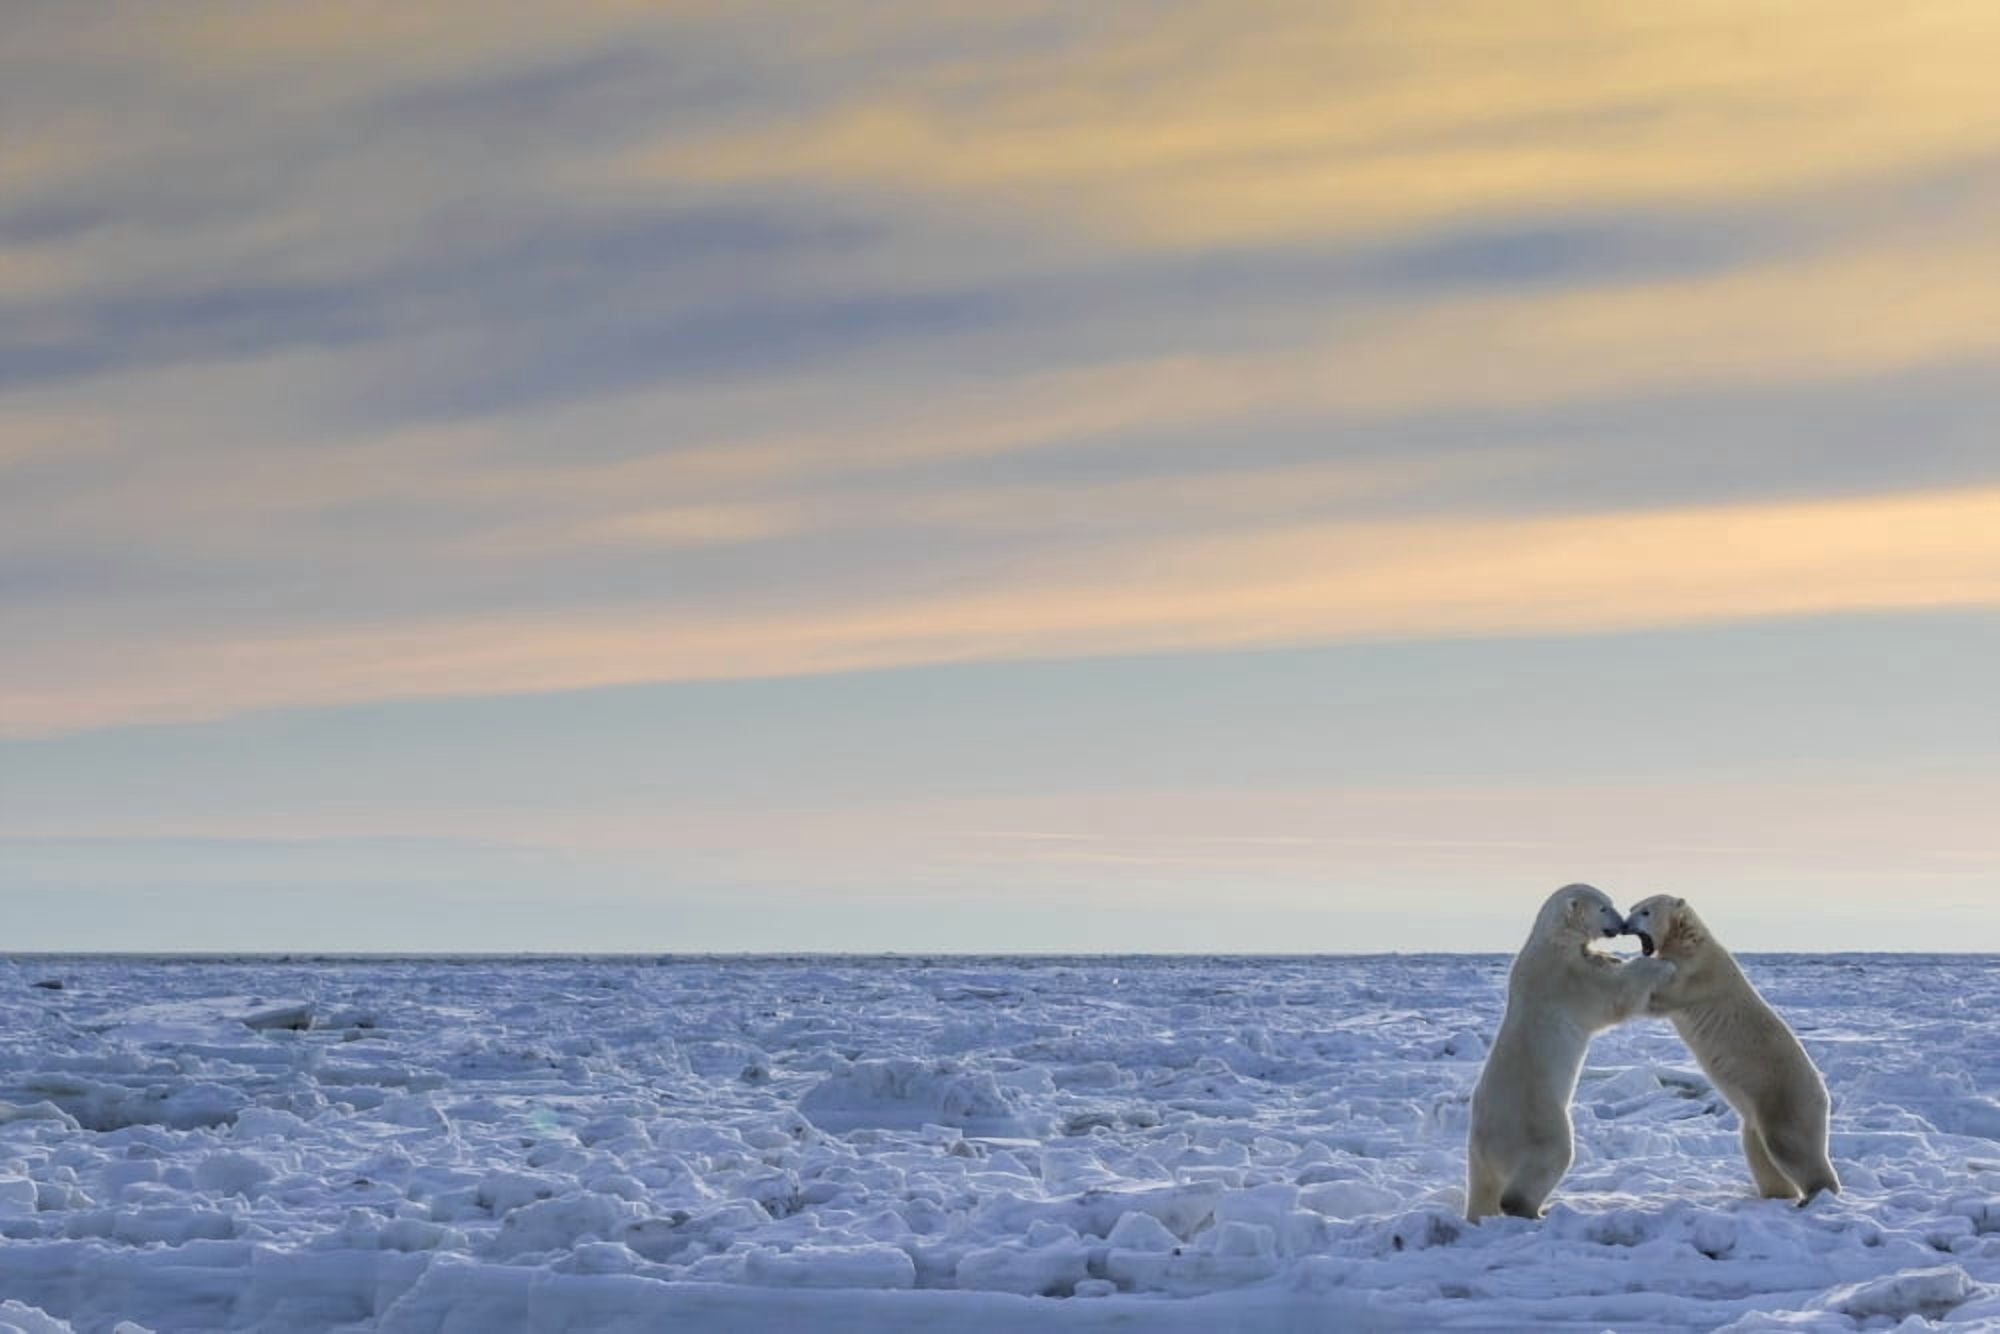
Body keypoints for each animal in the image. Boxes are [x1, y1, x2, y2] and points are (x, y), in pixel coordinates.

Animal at [1466, 883, 1676, 1221]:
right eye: (1604, 907)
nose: (1620, 925)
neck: (1552, 940)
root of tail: (1488, 1144)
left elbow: (1600, 963)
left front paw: (1610, 956)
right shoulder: (1565, 977)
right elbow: (1612, 995)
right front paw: (1661, 965)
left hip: (1477, 1153)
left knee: (1483, 1185)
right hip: (1539, 1122)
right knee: (1552, 1158)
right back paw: (1534, 1209)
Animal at [1624, 894, 1839, 1203]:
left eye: (1645, 911)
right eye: (1633, 908)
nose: (1624, 924)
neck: (1689, 940)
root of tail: (1823, 1093)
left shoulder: (1697, 974)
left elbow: (1660, 995)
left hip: (1785, 1098)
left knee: (1790, 1146)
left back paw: (1817, 1196)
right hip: (1756, 1119)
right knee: (1760, 1154)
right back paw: (1775, 1195)